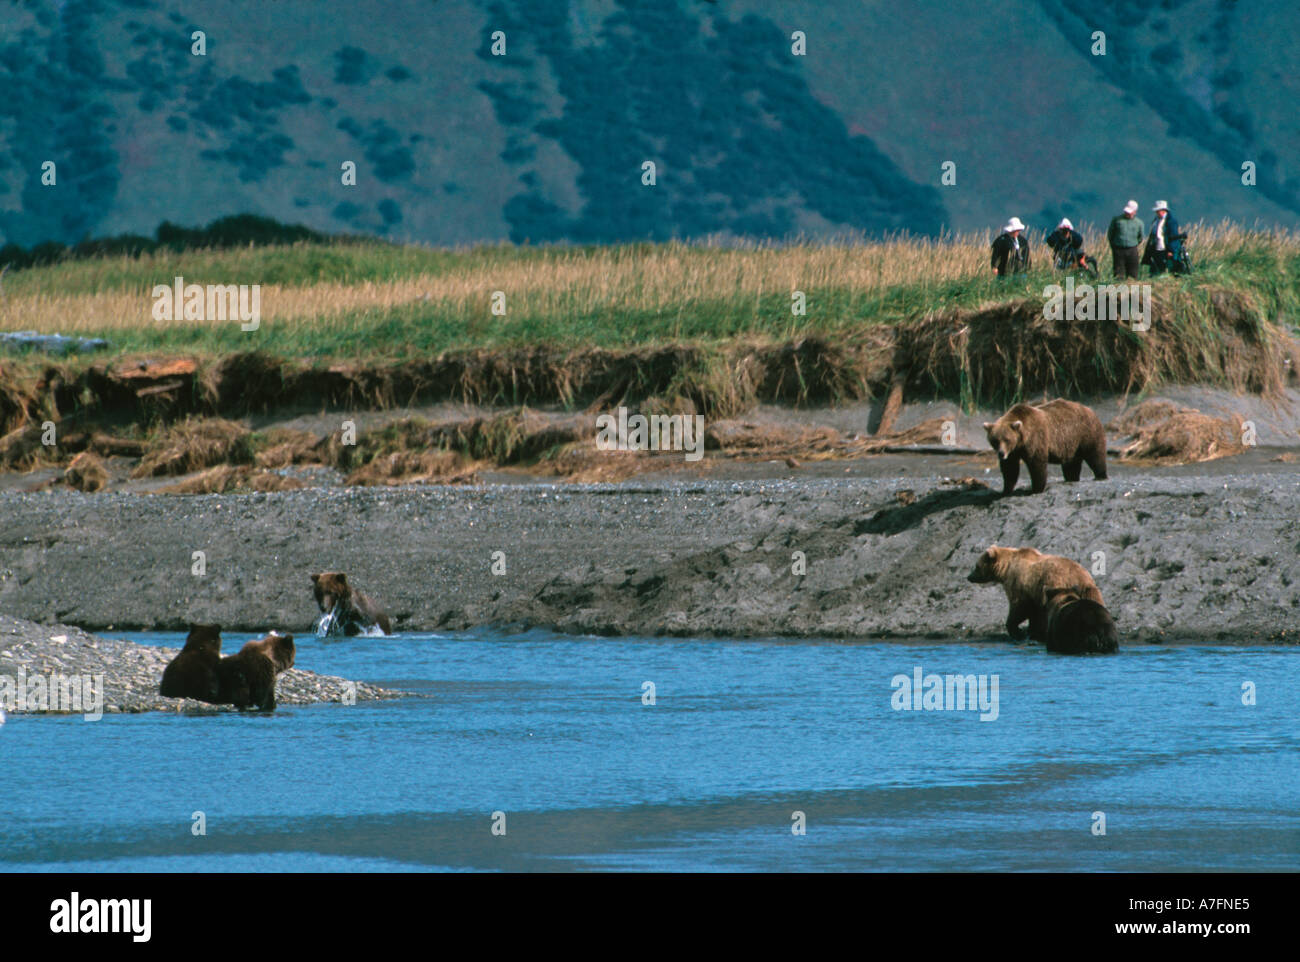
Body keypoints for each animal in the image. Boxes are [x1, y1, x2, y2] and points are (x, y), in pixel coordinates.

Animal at [967, 546, 1107, 642]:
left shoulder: (1020, 584)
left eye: (976, 566)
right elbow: (1034, 613)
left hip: (1057, 584)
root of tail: (1081, 577)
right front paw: (1031, 633)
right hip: (1091, 591)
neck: (1006, 569)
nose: (969, 577)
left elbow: (1019, 608)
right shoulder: (1035, 593)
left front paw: (1018, 632)